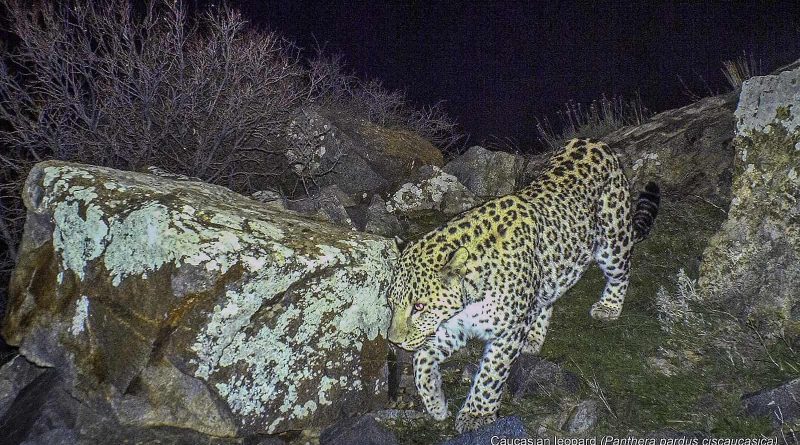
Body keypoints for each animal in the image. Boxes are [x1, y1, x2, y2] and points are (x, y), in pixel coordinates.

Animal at [386, 138, 660, 433]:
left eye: (419, 307)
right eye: (391, 303)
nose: (393, 341)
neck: (470, 295)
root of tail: (594, 142)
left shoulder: (507, 332)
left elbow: (490, 376)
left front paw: (476, 415)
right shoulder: (456, 328)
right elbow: (422, 359)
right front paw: (436, 404)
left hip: (612, 239)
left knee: (622, 271)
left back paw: (609, 307)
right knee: (546, 297)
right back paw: (534, 336)